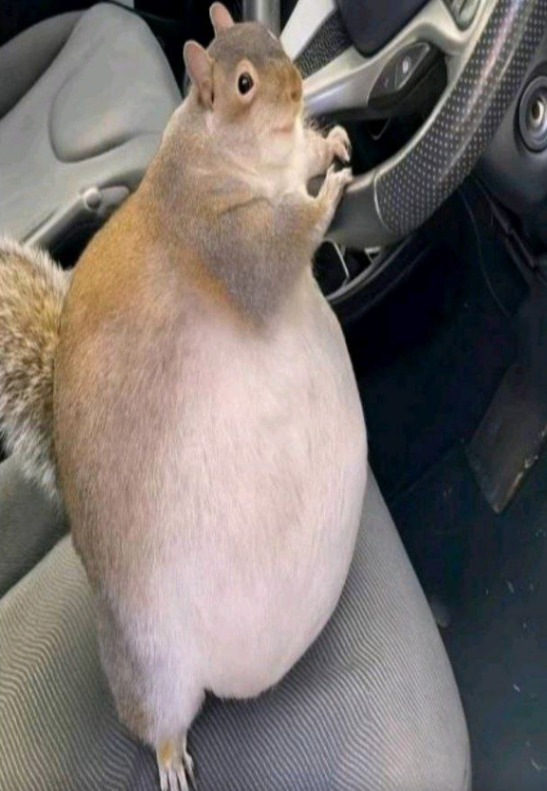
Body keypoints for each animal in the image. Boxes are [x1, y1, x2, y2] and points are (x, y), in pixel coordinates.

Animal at [0, 5, 367, 790]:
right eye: (242, 85)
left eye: (273, 43)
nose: (300, 89)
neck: (214, 150)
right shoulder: (225, 241)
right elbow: (280, 249)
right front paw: (326, 194)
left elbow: (304, 159)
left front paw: (328, 143)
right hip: (148, 661)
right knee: (157, 719)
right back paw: (168, 757)